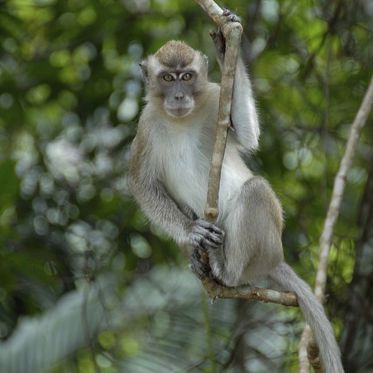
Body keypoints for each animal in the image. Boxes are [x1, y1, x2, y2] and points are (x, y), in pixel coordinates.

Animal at [128, 11, 342, 372]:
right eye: (167, 78)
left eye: (187, 76)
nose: (178, 96)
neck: (181, 120)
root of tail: (277, 258)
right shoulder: (146, 126)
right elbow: (141, 184)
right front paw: (192, 229)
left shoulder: (215, 96)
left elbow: (247, 135)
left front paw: (226, 46)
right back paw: (198, 259)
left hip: (266, 246)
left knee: (255, 190)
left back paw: (225, 272)